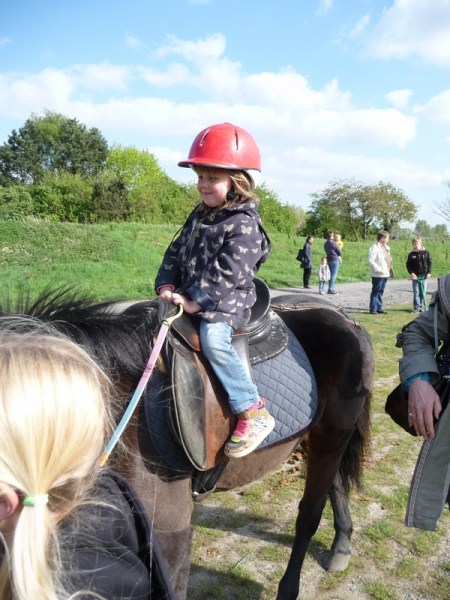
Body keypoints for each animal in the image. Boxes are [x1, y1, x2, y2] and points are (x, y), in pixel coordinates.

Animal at [0, 288, 372, 596]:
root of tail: (343, 316)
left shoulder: (169, 531)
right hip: (319, 437)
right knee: (335, 485)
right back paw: (341, 546)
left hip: (333, 434)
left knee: (310, 512)